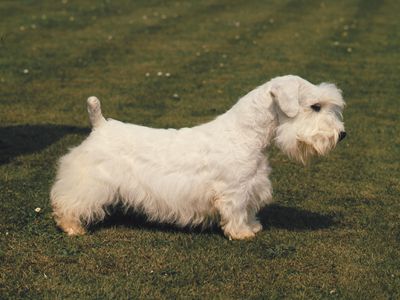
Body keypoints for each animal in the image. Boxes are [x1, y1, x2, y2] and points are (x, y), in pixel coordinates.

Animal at [50, 76, 346, 240]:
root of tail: (100, 125)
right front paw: (242, 233)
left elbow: (249, 210)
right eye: (315, 106)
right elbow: (236, 212)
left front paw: (253, 226)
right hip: (88, 183)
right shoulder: (233, 191)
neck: (244, 135)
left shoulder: (251, 186)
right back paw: (72, 228)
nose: (342, 135)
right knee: (68, 202)